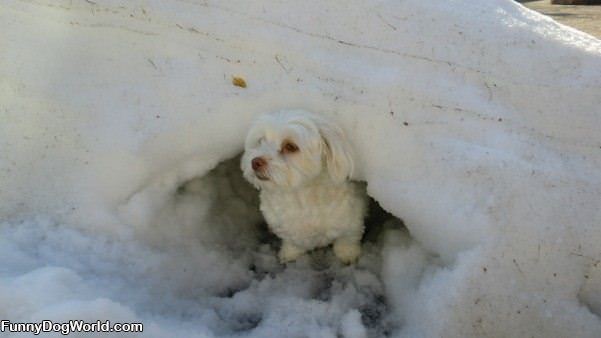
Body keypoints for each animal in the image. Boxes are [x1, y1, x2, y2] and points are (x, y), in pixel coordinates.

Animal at [240, 111, 366, 264]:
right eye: (260, 141)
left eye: (290, 146)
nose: (255, 162)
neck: (301, 196)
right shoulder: (287, 228)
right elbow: (292, 243)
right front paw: (289, 254)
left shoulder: (352, 222)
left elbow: (347, 240)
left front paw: (348, 255)